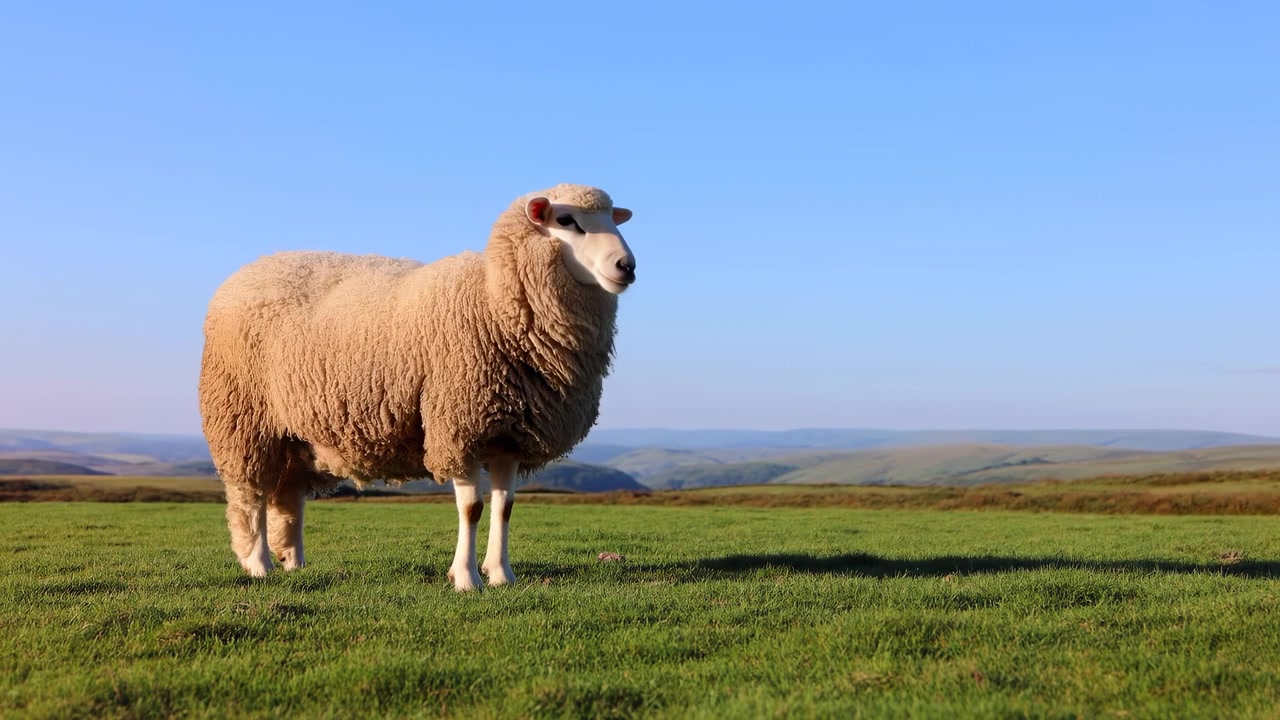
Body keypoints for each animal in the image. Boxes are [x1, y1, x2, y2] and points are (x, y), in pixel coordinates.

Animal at [198, 184, 636, 591]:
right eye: (566, 220)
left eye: (613, 220)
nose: (627, 265)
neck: (493, 300)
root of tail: (248, 270)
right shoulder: (458, 425)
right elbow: (473, 508)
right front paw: (466, 578)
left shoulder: (509, 436)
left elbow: (504, 508)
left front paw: (501, 575)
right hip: (244, 417)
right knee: (251, 493)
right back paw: (258, 564)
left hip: (294, 433)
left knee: (287, 496)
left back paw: (294, 562)